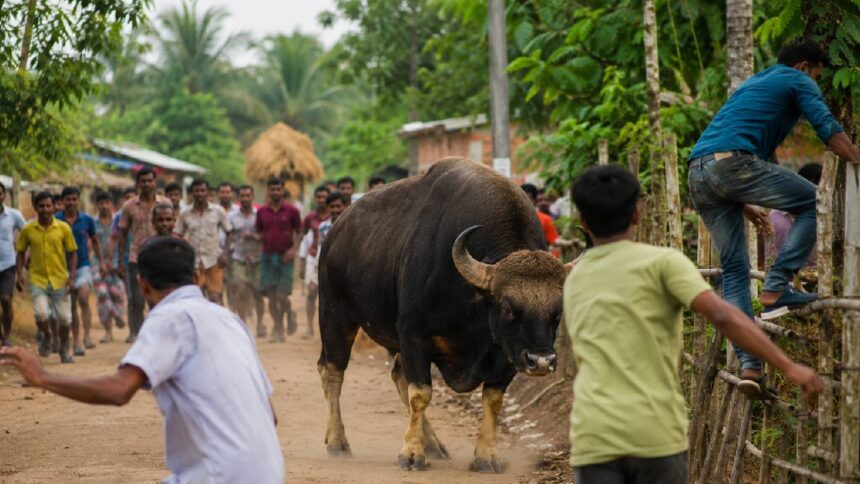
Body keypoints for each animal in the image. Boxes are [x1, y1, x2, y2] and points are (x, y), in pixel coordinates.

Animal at [317, 158, 572, 472]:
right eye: (508, 307)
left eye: (557, 311)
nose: (541, 361)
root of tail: (335, 232)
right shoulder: (414, 335)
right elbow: (421, 393)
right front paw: (411, 454)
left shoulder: (509, 353)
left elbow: (493, 400)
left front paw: (486, 456)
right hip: (334, 314)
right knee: (332, 371)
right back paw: (338, 442)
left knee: (397, 375)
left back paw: (434, 444)